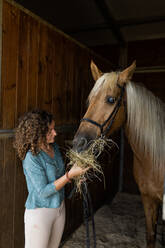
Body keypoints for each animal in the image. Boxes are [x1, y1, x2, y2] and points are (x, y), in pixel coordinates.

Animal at [72, 60, 165, 248]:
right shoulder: (148, 199)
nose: (79, 143)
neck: (154, 159)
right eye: (90, 100)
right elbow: (150, 236)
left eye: (111, 100)